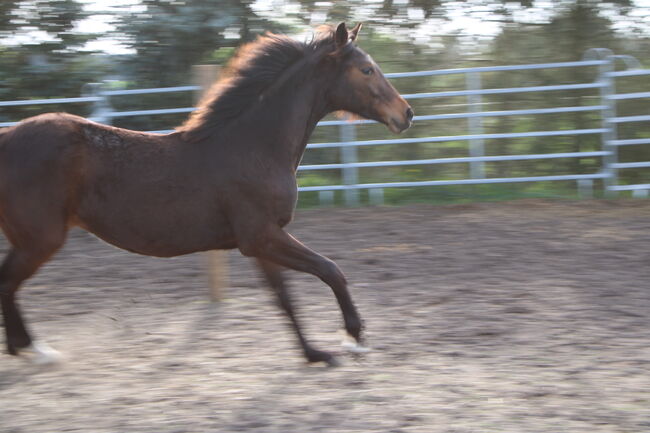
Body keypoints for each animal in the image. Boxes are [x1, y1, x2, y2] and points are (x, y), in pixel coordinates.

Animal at [0, 22, 412, 364]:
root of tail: (7, 138)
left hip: (30, 240)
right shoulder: (262, 236)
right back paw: (35, 350)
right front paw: (353, 339)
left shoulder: (260, 242)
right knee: (8, 281)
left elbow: (284, 298)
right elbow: (331, 271)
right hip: (40, 239)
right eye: (366, 69)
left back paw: (24, 348)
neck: (254, 146)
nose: (406, 114)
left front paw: (314, 354)